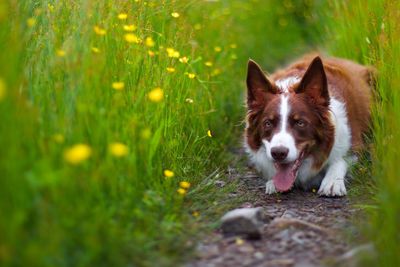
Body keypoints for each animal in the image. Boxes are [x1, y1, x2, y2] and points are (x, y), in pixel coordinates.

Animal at [245, 54, 374, 197]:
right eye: (268, 123)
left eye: (300, 123)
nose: (278, 153)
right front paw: (273, 182)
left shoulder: (356, 143)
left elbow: (341, 159)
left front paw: (332, 181)